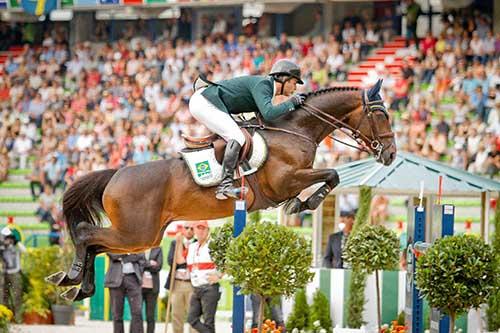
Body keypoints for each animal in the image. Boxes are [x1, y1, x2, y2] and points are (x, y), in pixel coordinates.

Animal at [47, 79, 398, 300]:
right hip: (137, 232)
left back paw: (76, 285)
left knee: (95, 244)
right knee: (85, 234)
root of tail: (116, 173)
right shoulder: (286, 180)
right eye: (381, 114)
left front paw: (302, 205)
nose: (391, 155)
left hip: (144, 236)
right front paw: (302, 205)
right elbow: (332, 174)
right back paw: (70, 277)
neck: (294, 131)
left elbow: (331, 175)